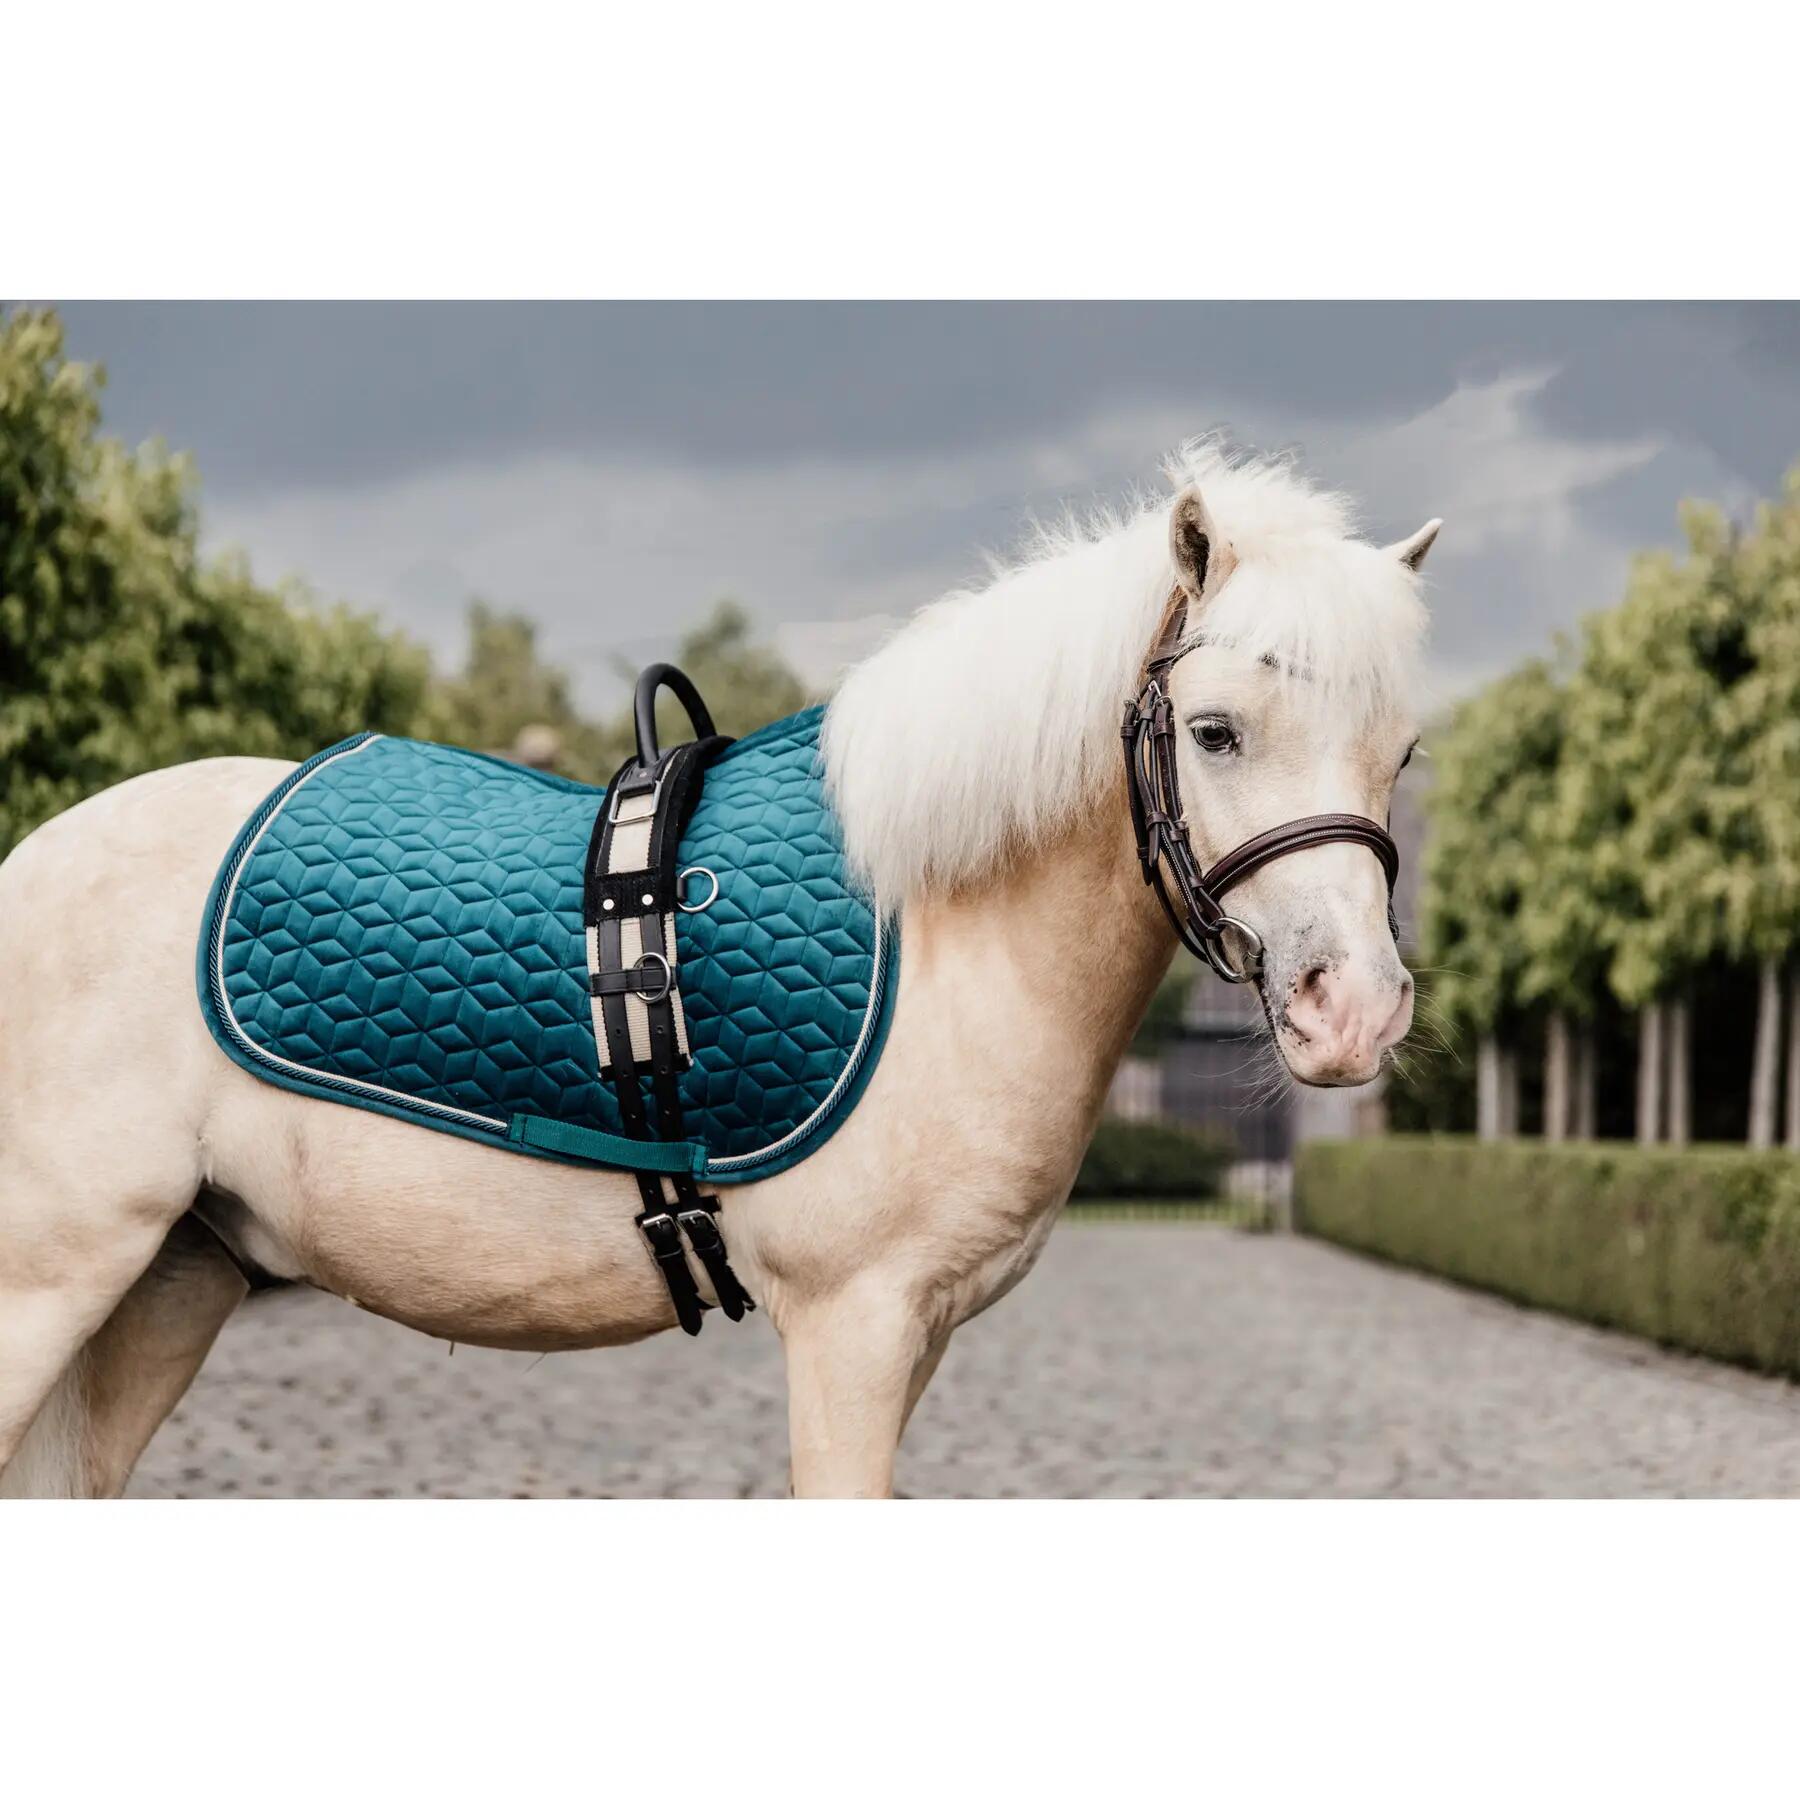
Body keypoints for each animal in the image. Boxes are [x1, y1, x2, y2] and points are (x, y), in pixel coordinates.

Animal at [0, 443, 1438, 1498]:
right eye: (1216, 731)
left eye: (1406, 751)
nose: (1354, 1012)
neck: (943, 942)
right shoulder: (854, 1324)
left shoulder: (917, 1331)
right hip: (52, 1278)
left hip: (171, 1283)